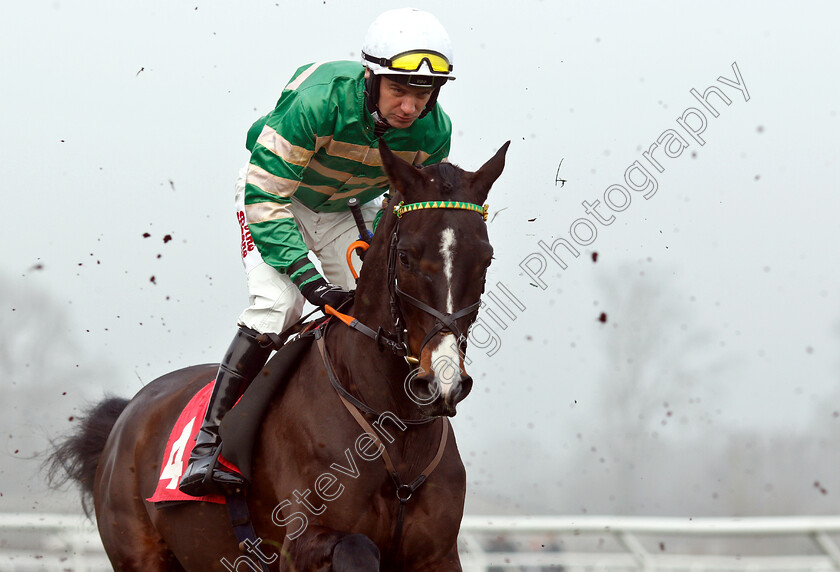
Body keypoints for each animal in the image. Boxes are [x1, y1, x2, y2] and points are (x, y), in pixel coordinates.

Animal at [50, 140, 512, 572]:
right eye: (405, 256)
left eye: (486, 259)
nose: (442, 382)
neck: (394, 429)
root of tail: (127, 414)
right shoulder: (302, 543)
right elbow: (357, 549)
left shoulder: (437, 553)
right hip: (139, 552)